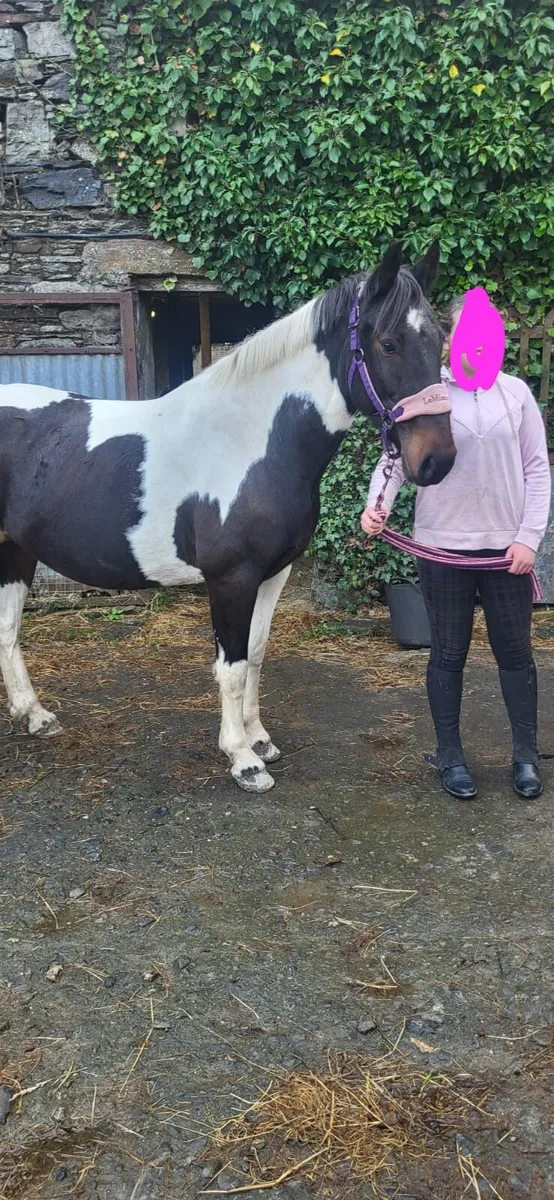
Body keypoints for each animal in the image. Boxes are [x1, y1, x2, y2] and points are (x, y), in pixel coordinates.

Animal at [0, 240, 456, 793]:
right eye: (388, 344)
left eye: (439, 340)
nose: (437, 460)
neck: (252, 441)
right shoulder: (231, 578)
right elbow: (232, 666)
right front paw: (243, 759)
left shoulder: (273, 574)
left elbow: (256, 653)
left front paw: (259, 739)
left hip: (14, 551)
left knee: (7, 631)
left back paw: (35, 716)